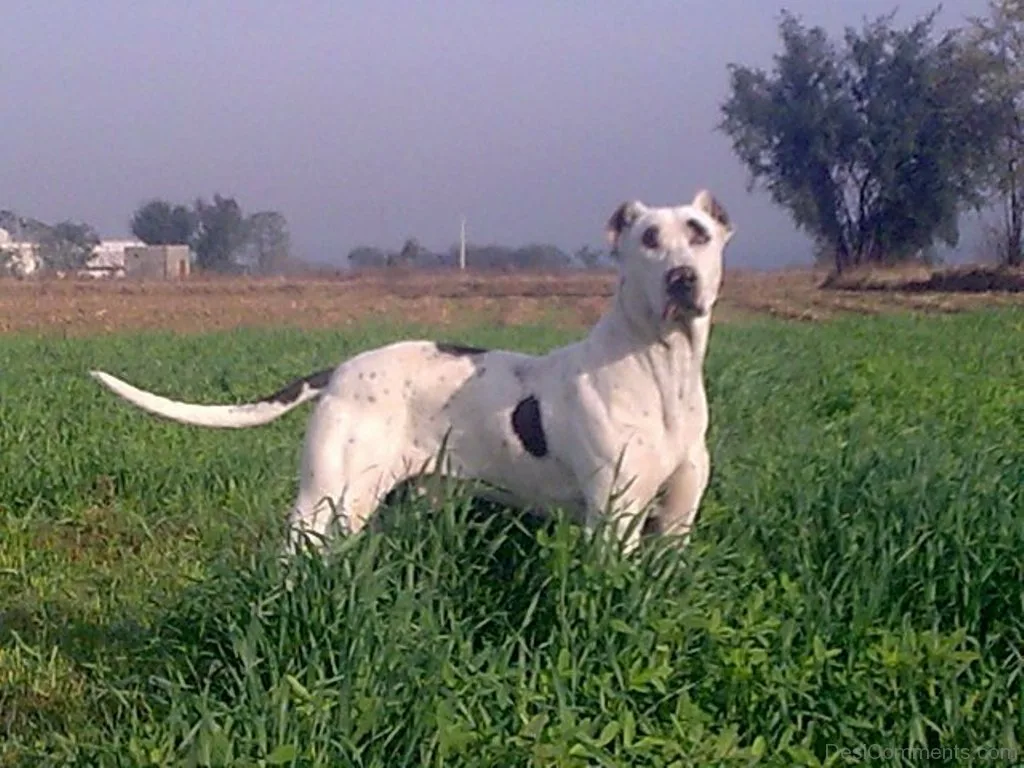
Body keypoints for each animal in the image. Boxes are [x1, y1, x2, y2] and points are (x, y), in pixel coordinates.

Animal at [90, 191, 729, 552]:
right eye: (649, 239)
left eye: (699, 235)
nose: (682, 279)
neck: (660, 371)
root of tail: (342, 370)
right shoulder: (615, 520)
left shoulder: (675, 523)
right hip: (329, 498)